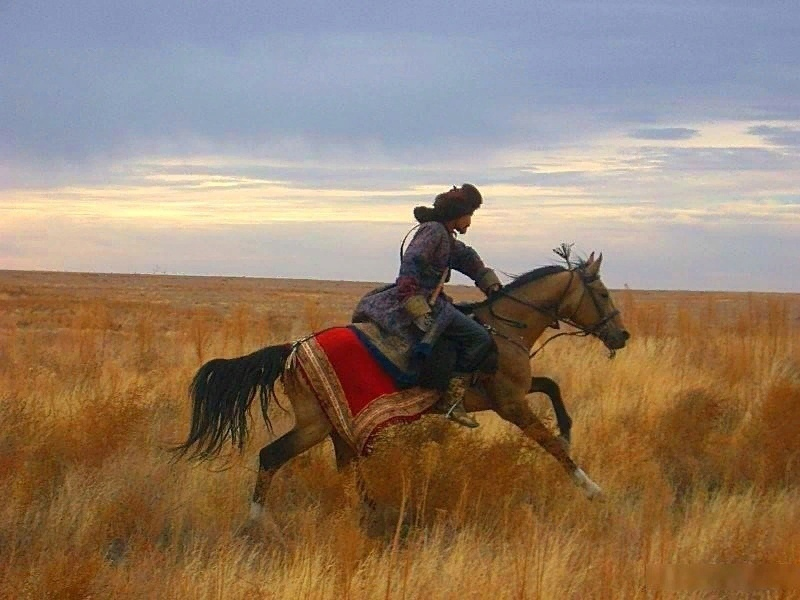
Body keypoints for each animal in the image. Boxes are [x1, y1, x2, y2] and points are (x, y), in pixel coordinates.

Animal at [175, 251, 632, 532]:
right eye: (602, 292)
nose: (621, 335)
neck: (503, 330)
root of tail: (294, 349)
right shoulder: (509, 403)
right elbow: (549, 443)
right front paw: (591, 488)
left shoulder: (507, 394)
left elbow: (553, 390)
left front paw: (569, 430)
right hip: (315, 425)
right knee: (272, 456)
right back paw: (257, 523)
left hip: (336, 424)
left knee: (345, 467)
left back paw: (375, 515)